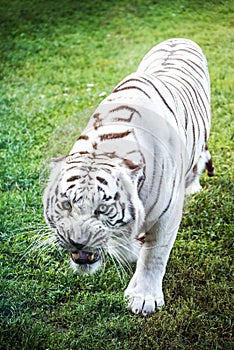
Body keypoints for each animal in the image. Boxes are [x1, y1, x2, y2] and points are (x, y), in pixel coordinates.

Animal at [43, 38, 214, 314]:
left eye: (102, 208)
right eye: (67, 204)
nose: (77, 242)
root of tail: (178, 39)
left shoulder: (167, 214)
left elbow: (154, 255)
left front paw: (144, 297)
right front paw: (132, 252)